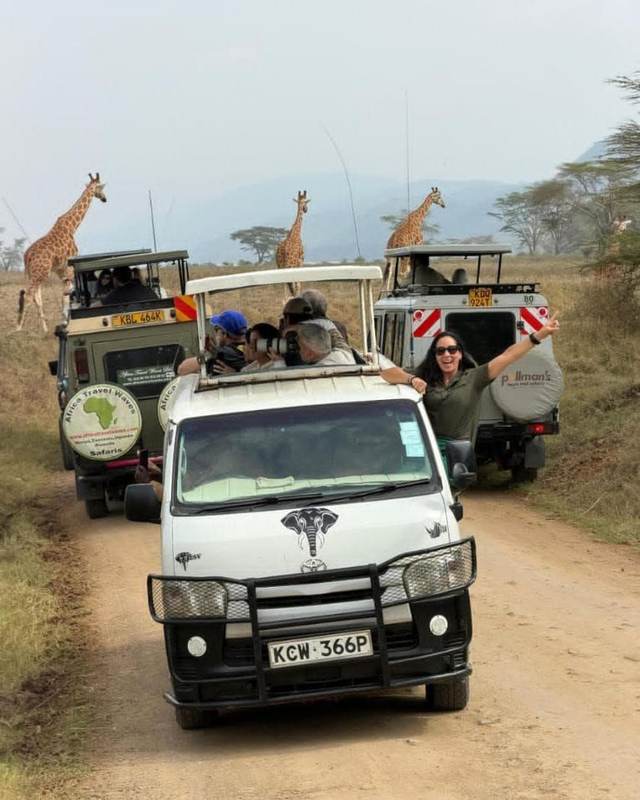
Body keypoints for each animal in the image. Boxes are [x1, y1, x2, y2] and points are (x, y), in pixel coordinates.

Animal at [16, 173, 107, 332]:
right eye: (101, 187)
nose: (104, 198)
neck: (72, 227)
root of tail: (26, 256)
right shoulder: (69, 265)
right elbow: (67, 294)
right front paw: (66, 322)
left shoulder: (60, 269)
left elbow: (65, 293)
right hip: (40, 273)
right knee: (29, 295)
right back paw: (19, 329)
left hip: (34, 274)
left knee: (36, 297)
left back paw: (45, 329)